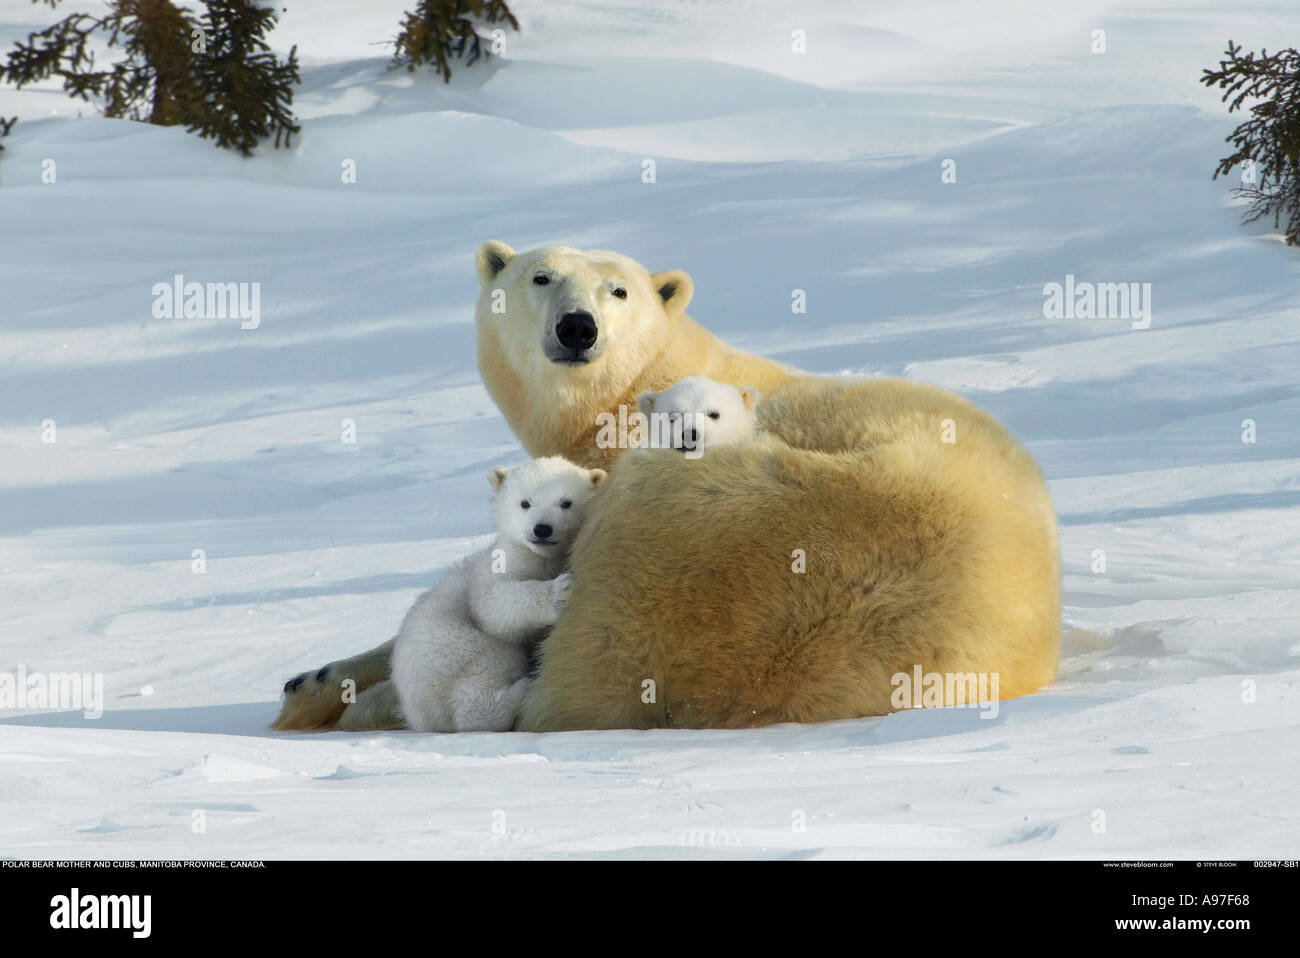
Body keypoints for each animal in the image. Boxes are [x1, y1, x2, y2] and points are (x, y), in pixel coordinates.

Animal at [392, 457, 605, 733]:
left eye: (566, 502)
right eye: (525, 503)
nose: (542, 529)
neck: (544, 559)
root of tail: (418, 714)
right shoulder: (499, 566)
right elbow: (492, 606)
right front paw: (560, 590)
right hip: (448, 650)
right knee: (482, 676)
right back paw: (520, 687)